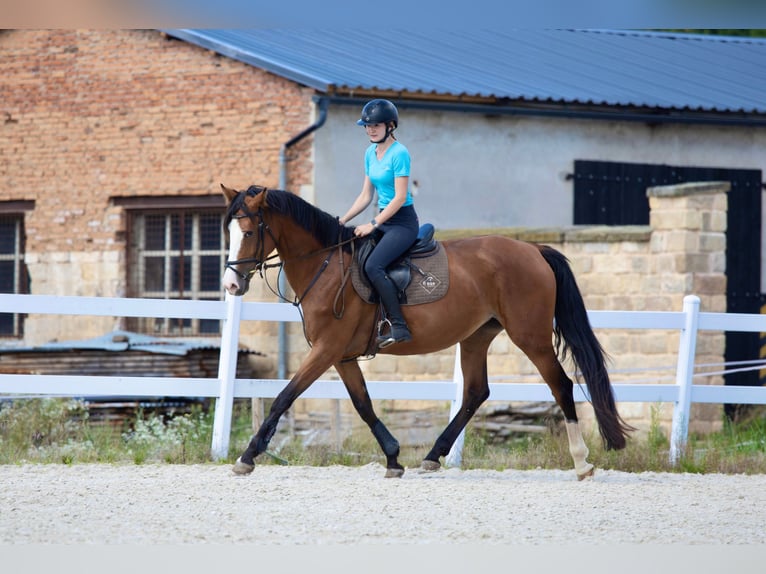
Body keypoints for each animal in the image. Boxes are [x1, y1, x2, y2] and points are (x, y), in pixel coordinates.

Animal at [221, 184, 633, 480]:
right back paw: (434, 456)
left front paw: (247, 456)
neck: (325, 265)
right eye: (228, 231)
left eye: (249, 231)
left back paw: (582, 463)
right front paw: (393, 457)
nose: (231, 285)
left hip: (530, 337)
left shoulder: (326, 349)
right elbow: (363, 404)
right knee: (475, 392)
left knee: (561, 385)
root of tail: (534, 250)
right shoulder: (341, 355)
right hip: (476, 337)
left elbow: (283, 397)